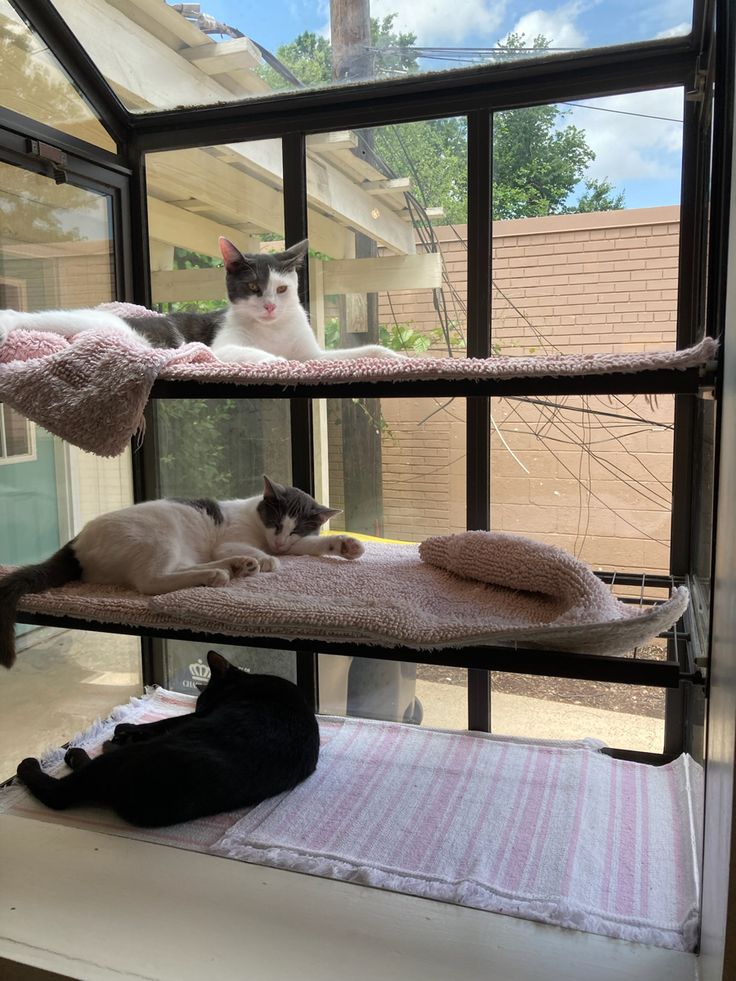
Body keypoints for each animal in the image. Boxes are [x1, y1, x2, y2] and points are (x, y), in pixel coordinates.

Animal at [0, 237, 408, 364]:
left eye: (281, 289)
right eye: (253, 287)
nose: (270, 307)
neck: (272, 330)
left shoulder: (314, 355)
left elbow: (344, 355)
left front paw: (393, 356)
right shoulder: (222, 346)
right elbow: (252, 354)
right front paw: (276, 362)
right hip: (121, 330)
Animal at [0, 478, 362, 668]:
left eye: (295, 528)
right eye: (274, 522)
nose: (279, 541)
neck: (259, 531)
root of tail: (76, 542)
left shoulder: (292, 545)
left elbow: (309, 546)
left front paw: (345, 545)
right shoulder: (230, 541)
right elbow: (263, 555)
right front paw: (267, 561)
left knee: (180, 569)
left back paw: (234, 568)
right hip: (160, 535)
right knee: (151, 581)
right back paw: (226, 570)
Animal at [16, 652, 320, 828]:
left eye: (204, 704)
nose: (202, 710)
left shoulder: (194, 718)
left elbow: (164, 721)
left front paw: (125, 727)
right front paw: (124, 730)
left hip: (118, 762)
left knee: (60, 792)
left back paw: (50, 759)